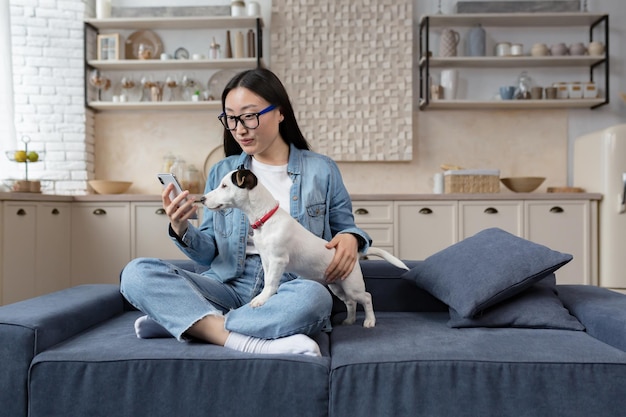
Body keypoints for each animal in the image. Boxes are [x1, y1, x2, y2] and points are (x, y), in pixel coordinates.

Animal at [201, 167, 410, 326]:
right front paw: (264, 295)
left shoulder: (278, 260)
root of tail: (356, 257)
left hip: (352, 285)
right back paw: (349, 321)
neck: (265, 218)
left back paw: (369, 321)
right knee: (350, 302)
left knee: (366, 297)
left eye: (225, 185)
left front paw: (262, 299)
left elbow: (270, 282)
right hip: (337, 286)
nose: (202, 199)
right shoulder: (267, 260)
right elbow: (268, 280)